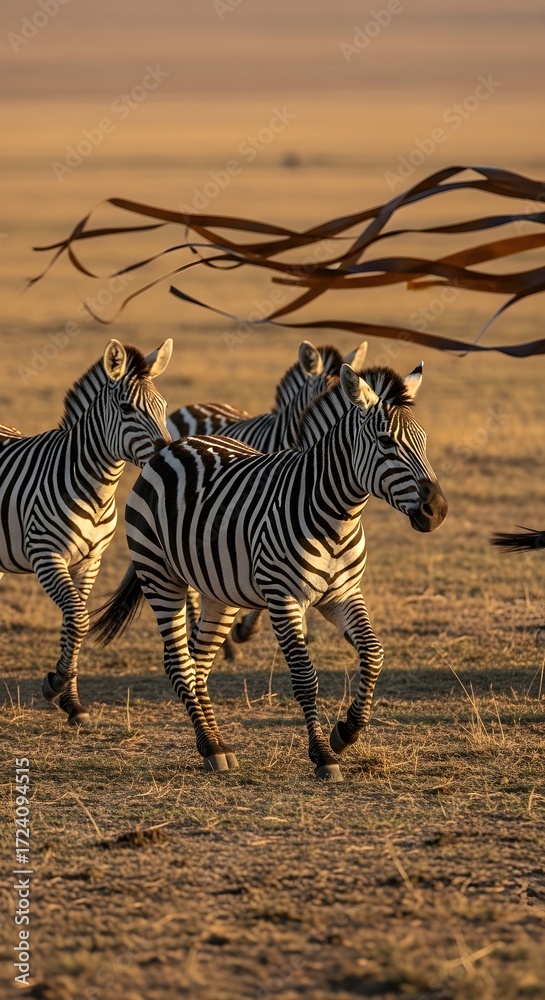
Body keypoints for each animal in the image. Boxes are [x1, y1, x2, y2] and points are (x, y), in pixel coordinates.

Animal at [0, 338, 172, 727]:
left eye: (164, 407)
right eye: (126, 408)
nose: (165, 453)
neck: (96, 487)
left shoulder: (91, 560)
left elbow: (72, 625)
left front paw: (72, 702)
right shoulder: (46, 555)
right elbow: (78, 620)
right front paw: (54, 685)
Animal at [91, 360, 448, 781]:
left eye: (423, 440)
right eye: (386, 442)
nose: (437, 511)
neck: (336, 513)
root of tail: (173, 446)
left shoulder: (343, 595)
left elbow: (374, 654)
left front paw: (346, 731)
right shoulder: (284, 598)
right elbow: (306, 678)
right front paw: (323, 755)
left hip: (219, 591)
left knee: (198, 662)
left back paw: (215, 745)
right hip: (161, 576)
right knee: (179, 662)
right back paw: (212, 746)